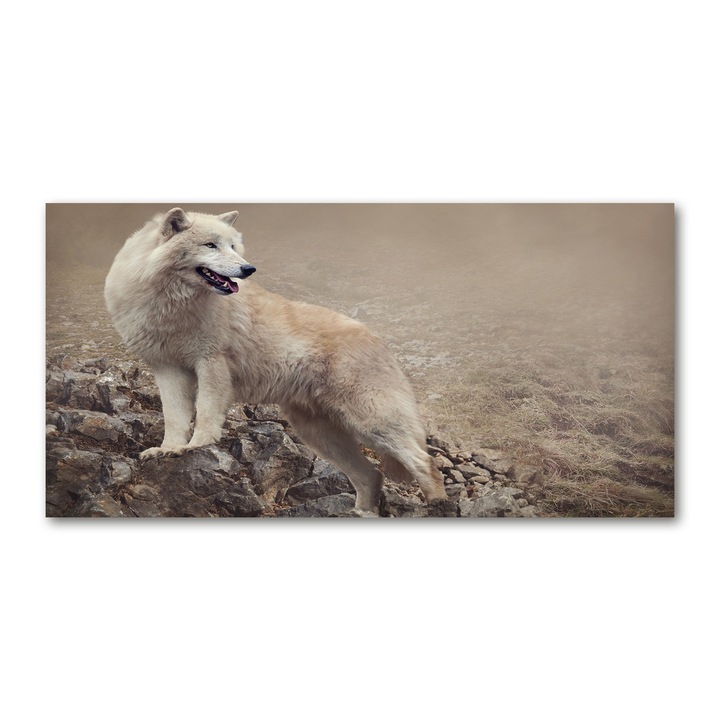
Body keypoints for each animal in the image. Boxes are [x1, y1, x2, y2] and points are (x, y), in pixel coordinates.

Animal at [104, 207, 449, 515]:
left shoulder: (211, 364)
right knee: (372, 474)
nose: (248, 269)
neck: (172, 305)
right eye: (210, 245)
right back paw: (362, 513)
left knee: (424, 461)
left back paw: (437, 504)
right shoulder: (167, 369)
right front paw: (169, 449)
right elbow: (174, 417)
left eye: (234, 246)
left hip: (370, 422)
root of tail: (378, 339)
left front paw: (196, 446)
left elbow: (205, 413)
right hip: (320, 435)